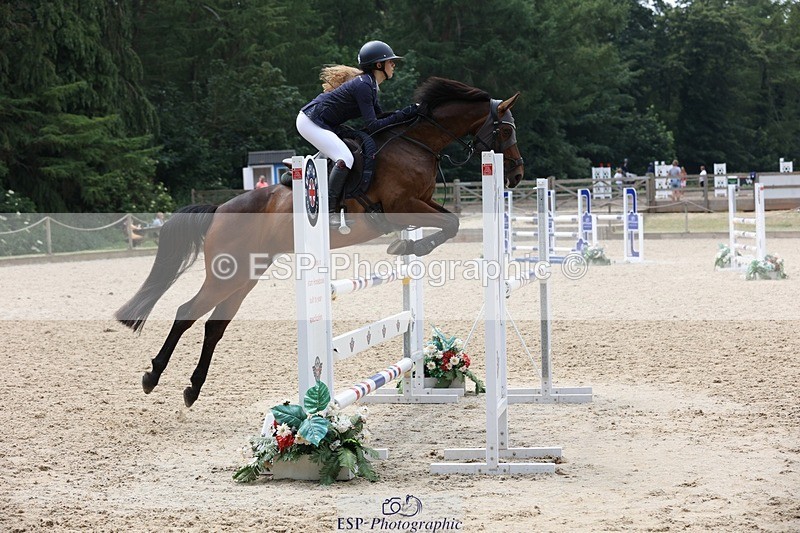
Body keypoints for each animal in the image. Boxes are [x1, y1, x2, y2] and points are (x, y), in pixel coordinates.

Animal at [116, 77, 525, 407]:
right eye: (505, 130)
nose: (517, 176)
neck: (417, 143)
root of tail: (220, 210)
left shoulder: (420, 204)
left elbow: (451, 221)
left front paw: (407, 247)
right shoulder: (401, 207)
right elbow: (450, 223)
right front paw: (407, 247)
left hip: (244, 276)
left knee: (214, 326)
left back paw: (192, 389)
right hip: (225, 275)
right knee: (187, 311)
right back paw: (152, 376)